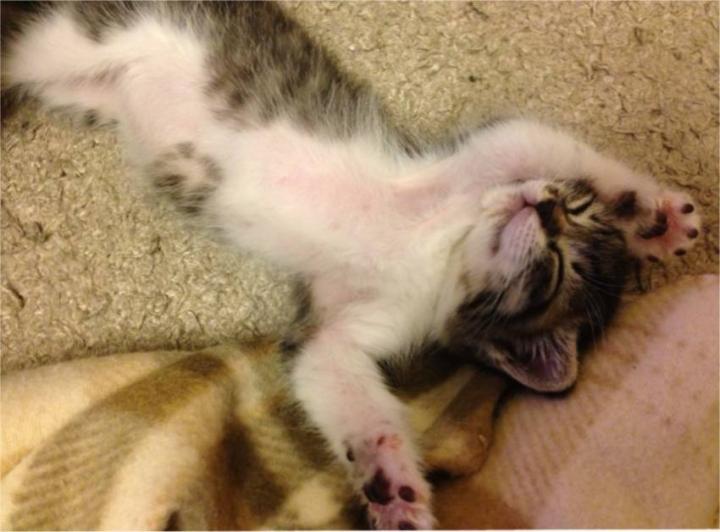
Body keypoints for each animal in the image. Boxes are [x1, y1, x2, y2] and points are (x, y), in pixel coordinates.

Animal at [2, 2, 701, 529]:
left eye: (555, 271)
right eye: (571, 215)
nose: (548, 207)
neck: (438, 251)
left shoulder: (341, 326)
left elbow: (342, 387)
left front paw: (394, 488)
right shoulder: (479, 158)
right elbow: (544, 140)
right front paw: (656, 218)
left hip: (75, 90)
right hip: (77, 38)